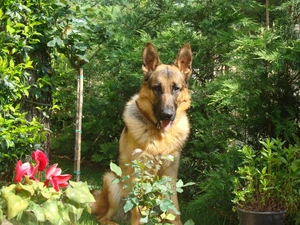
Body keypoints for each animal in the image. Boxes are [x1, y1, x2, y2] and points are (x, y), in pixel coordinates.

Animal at [91, 42, 192, 225]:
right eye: (157, 88)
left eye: (176, 88)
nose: (167, 115)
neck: (160, 135)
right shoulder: (138, 174)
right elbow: (139, 209)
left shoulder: (170, 175)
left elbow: (174, 209)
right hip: (111, 181)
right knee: (102, 217)